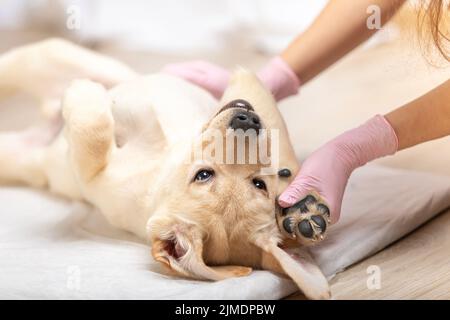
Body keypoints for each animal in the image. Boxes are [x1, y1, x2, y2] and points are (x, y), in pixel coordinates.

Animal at [0, 39, 330, 300]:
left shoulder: (94, 176)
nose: (247, 121)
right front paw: (302, 212)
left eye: (259, 184)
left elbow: (92, 140)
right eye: (203, 174)